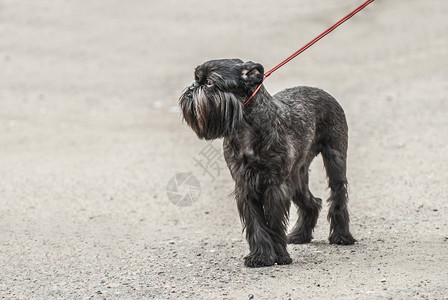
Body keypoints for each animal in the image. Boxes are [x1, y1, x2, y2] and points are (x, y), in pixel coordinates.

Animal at [179, 58, 356, 268]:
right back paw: (300, 235)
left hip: (334, 159)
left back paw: (342, 236)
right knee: (312, 202)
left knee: (338, 195)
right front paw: (260, 256)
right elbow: (256, 224)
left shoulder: (274, 187)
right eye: (196, 79)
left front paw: (279, 256)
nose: (192, 88)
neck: (246, 130)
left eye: (209, 83)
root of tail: (323, 93)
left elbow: (273, 223)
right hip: (296, 176)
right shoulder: (246, 187)